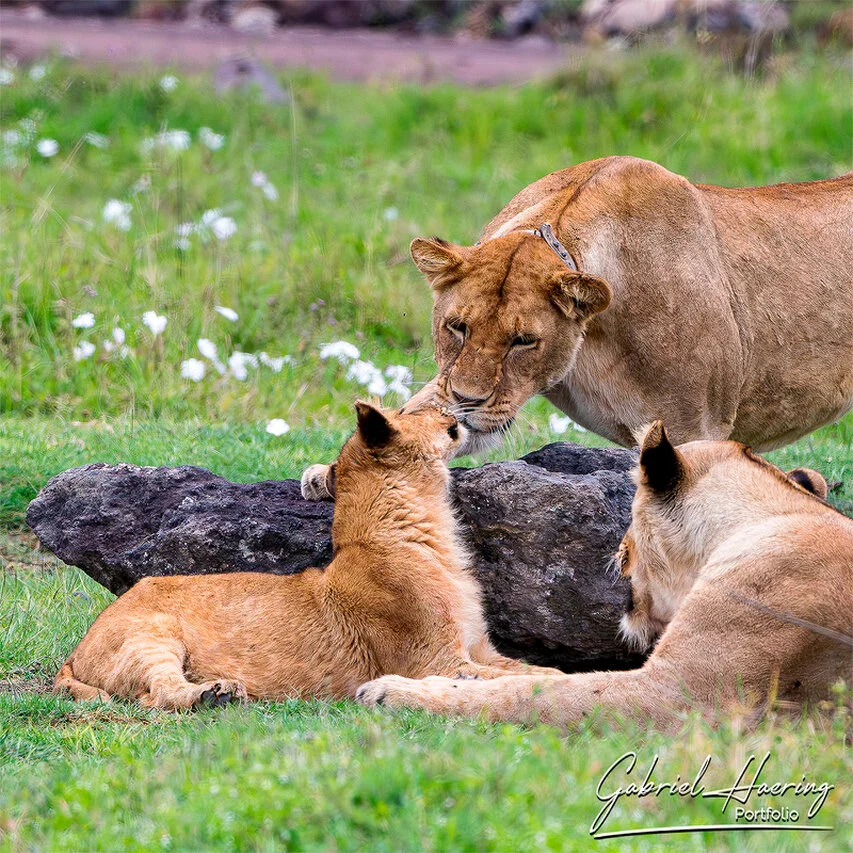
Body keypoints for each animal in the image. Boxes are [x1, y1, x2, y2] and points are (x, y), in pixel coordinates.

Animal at [54, 403, 559, 710]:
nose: (448, 406)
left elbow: (533, 668)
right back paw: (214, 694)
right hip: (151, 634)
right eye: (404, 410)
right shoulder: (432, 661)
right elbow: (516, 678)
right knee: (157, 694)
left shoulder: (479, 648)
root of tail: (75, 651)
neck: (429, 533)